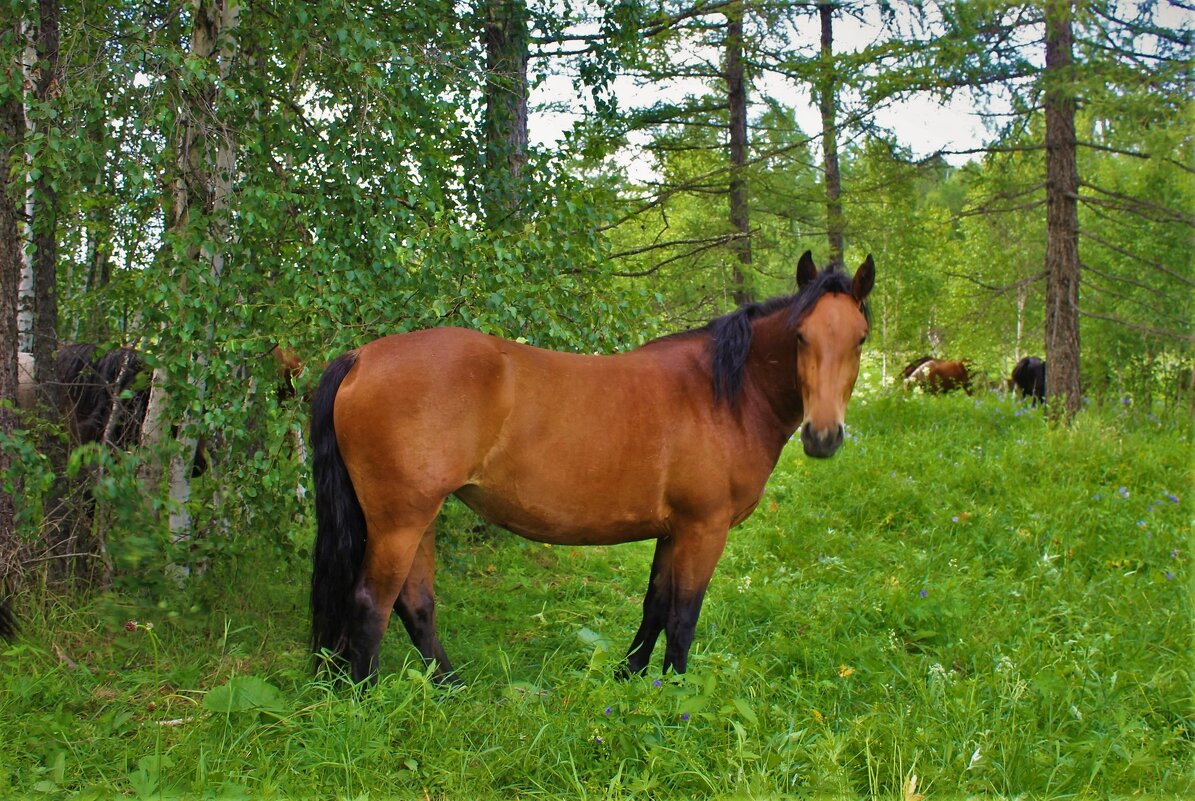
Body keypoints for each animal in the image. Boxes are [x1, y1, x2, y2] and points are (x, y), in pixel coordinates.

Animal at [308, 251, 879, 683]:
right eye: (801, 335)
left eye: (860, 338)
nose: (823, 436)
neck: (721, 394)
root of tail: (361, 358)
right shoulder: (704, 529)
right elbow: (683, 618)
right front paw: (676, 697)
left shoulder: (673, 531)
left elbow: (656, 606)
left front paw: (630, 679)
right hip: (399, 522)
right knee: (371, 603)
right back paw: (365, 696)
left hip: (417, 518)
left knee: (415, 604)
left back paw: (451, 687)